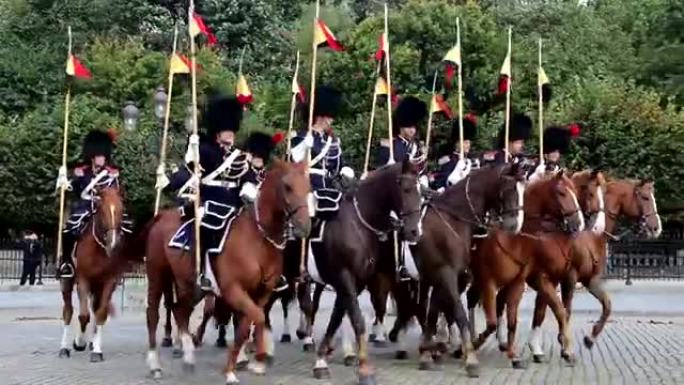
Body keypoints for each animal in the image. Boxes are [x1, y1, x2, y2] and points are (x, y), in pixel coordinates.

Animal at [57, 186, 128, 360]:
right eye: (101, 209)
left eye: (122, 210)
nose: (113, 243)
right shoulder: (83, 280)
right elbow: (83, 315)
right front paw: (79, 342)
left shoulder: (110, 281)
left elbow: (101, 313)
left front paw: (97, 350)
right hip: (67, 282)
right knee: (68, 311)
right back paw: (64, 348)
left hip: (98, 286)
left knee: (95, 309)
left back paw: (92, 343)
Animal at [308, 159, 424, 384]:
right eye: (406, 189)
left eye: (420, 190)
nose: (415, 231)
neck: (357, 224)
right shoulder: (345, 277)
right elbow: (357, 319)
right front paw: (364, 369)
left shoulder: (357, 280)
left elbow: (338, 316)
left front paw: (322, 359)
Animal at [468, 170, 584, 366]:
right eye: (561, 193)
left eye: (576, 191)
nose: (578, 223)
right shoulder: (540, 278)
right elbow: (557, 310)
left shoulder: (553, 279)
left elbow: (546, 312)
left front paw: (551, 348)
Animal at [524, 174, 664, 360]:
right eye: (645, 197)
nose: (656, 228)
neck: (590, 237)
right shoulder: (568, 278)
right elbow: (565, 309)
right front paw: (564, 343)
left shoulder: (590, 280)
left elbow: (607, 306)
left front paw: (590, 338)